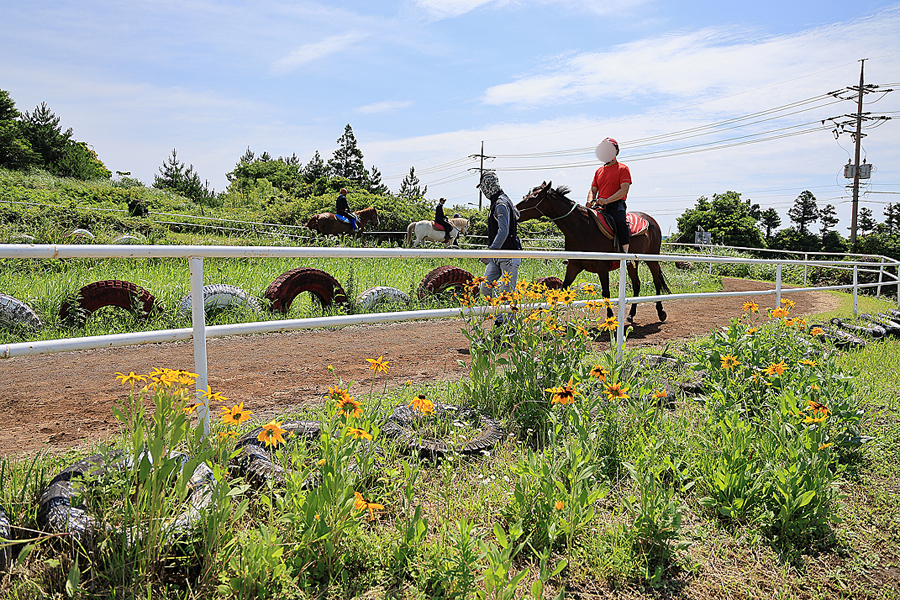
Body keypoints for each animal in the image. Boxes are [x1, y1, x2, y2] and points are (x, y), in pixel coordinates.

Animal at [512, 183, 668, 324]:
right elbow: (562, 290)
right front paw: (553, 320)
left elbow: (606, 293)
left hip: (652, 260)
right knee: (637, 285)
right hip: (631, 263)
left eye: (534, 197)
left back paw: (661, 312)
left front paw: (610, 318)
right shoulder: (574, 266)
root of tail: (652, 222)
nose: (515, 210)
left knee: (656, 282)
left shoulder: (602, 267)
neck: (583, 228)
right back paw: (631, 315)